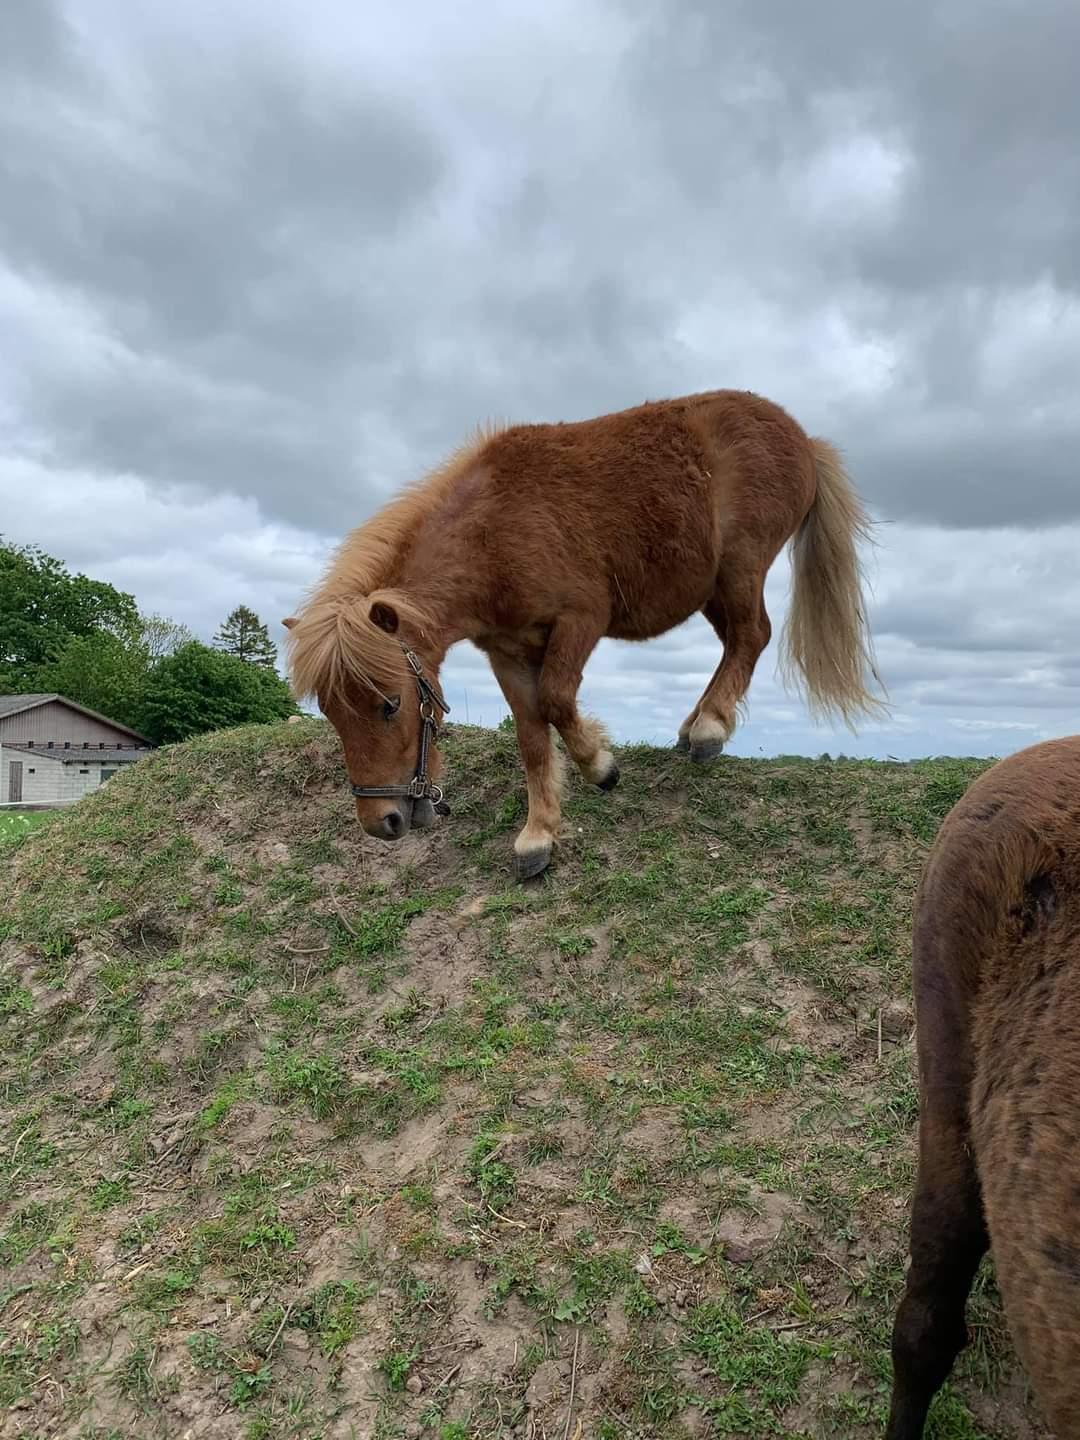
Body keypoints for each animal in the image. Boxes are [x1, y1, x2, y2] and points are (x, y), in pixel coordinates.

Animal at [283, 388, 881, 875]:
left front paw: (600, 766)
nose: (380, 821)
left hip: (740, 567)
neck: (492, 532)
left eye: (389, 704)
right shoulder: (505, 652)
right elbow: (530, 736)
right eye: (331, 712)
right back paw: (695, 725)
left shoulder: (579, 620)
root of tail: (803, 439)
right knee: (735, 642)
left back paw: (710, 728)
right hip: (711, 588)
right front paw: (538, 834)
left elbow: (555, 701)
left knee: (752, 635)